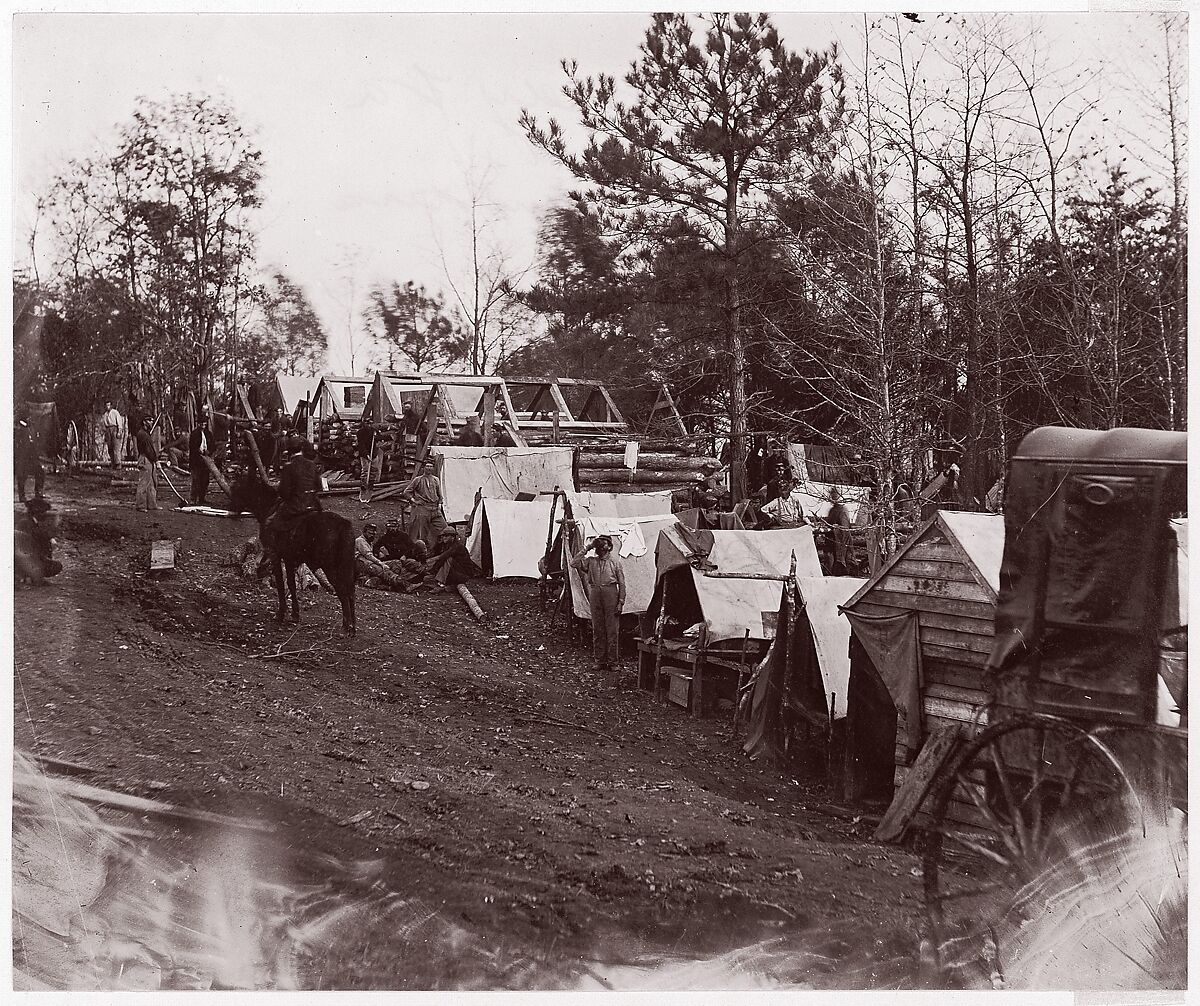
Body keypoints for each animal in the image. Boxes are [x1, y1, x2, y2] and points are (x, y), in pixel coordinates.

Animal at [231, 477, 355, 633]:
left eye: (237, 487)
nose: (232, 509)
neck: (269, 509)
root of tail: (344, 524)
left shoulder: (275, 555)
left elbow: (280, 584)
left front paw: (281, 614)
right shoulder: (289, 559)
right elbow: (291, 584)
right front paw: (295, 614)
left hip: (331, 567)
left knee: (343, 591)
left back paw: (346, 627)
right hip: (346, 565)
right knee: (351, 592)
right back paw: (353, 627)